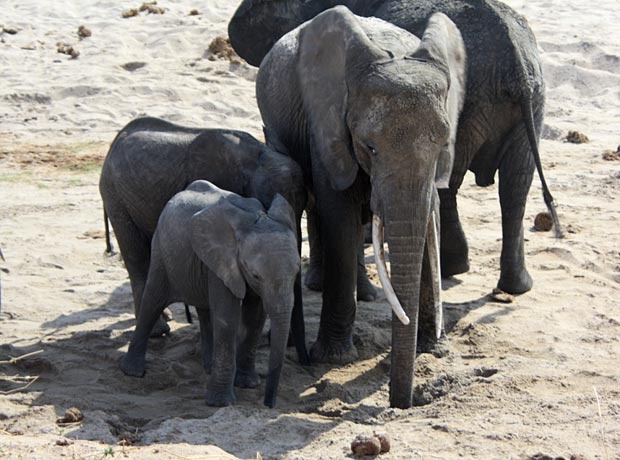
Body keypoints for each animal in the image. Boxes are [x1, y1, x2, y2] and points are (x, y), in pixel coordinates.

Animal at [120, 181, 300, 408]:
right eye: (255, 275)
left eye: (297, 270)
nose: (269, 404)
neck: (254, 219)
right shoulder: (222, 262)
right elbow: (227, 317)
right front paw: (221, 403)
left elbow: (255, 317)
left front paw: (247, 384)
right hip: (161, 250)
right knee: (152, 301)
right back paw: (132, 372)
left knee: (204, 310)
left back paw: (208, 366)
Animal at [230, 0, 564, 294]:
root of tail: (516, 59)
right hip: (530, 100)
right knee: (516, 186)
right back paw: (514, 286)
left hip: (474, 99)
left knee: (459, 184)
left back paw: (454, 268)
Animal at [256, 7, 464, 408]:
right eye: (369, 147)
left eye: (443, 143)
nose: (400, 404)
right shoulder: (326, 125)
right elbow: (338, 214)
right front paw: (333, 358)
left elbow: (427, 217)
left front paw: (431, 349)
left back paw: (366, 292)